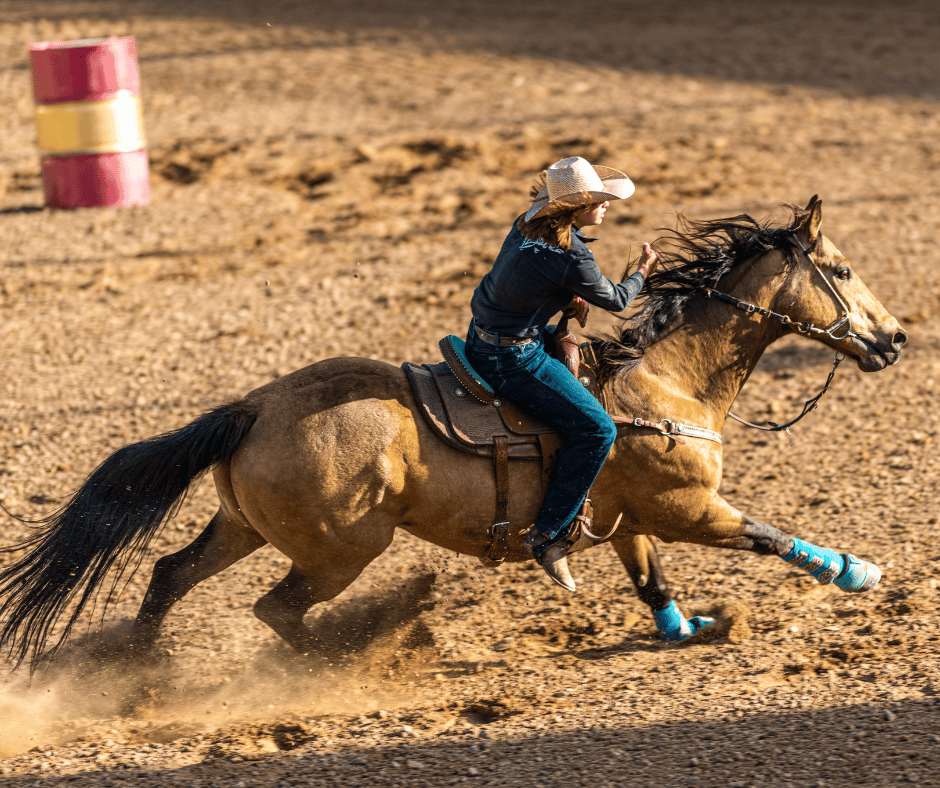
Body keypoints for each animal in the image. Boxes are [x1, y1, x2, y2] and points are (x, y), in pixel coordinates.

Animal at [0, 195, 912, 664]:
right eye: (839, 269)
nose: (896, 337)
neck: (663, 381)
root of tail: (254, 407)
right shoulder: (690, 511)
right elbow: (769, 535)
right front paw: (857, 572)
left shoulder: (632, 519)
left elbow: (653, 584)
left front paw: (691, 629)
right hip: (340, 550)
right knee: (276, 612)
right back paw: (354, 653)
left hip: (242, 525)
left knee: (169, 575)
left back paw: (138, 678)